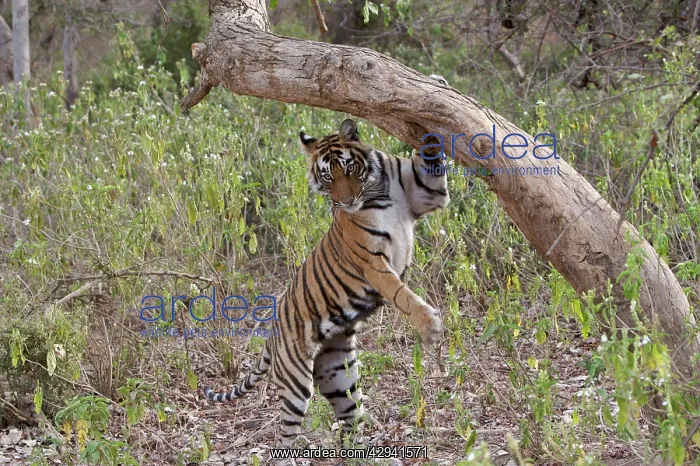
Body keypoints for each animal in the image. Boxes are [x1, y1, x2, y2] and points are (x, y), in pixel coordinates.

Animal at [202, 118, 449, 449]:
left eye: (349, 168)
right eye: (327, 176)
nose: (345, 202)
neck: (378, 190)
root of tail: (272, 335)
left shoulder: (427, 191)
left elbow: (431, 160)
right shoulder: (371, 260)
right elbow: (401, 294)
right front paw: (429, 325)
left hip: (338, 374)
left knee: (348, 421)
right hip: (296, 383)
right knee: (285, 436)